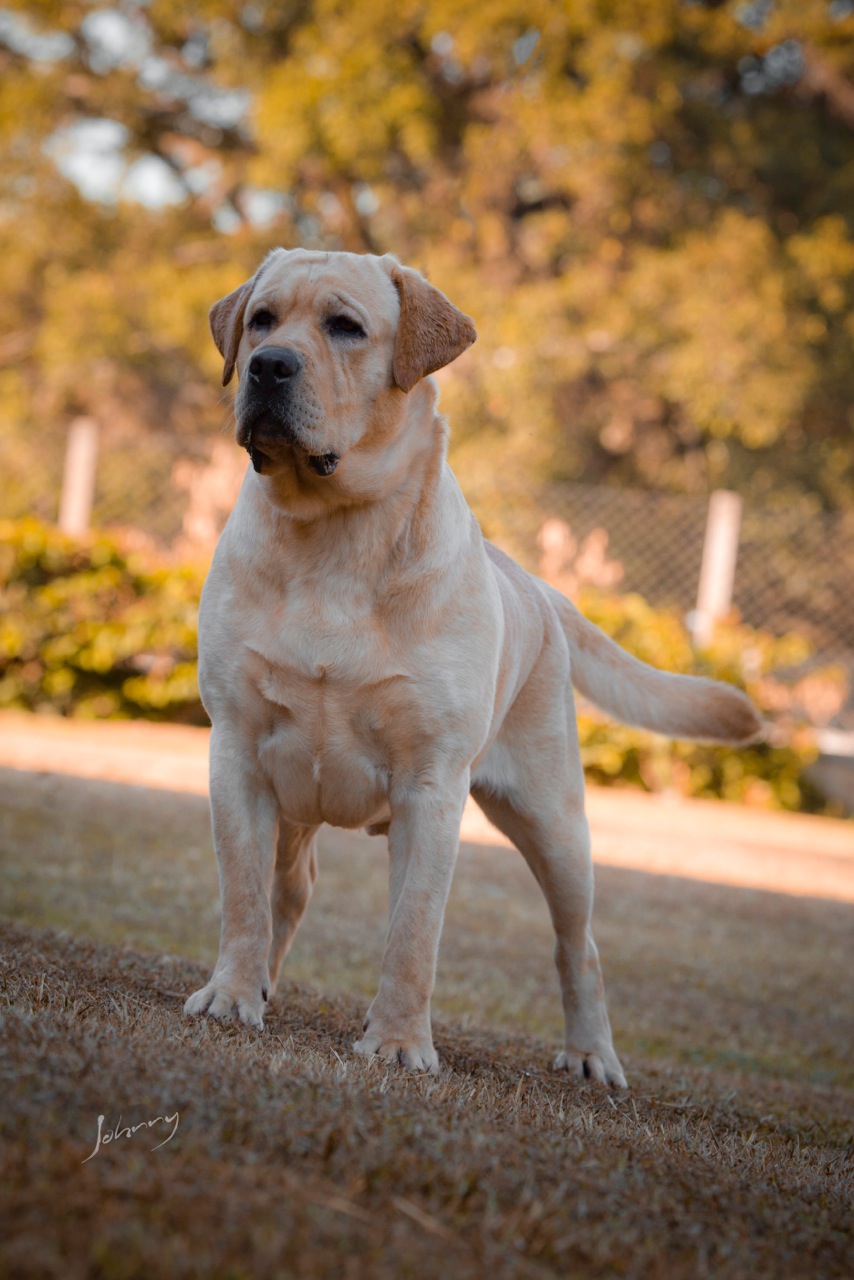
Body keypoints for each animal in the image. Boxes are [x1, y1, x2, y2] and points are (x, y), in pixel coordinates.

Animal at [186, 247, 763, 1080]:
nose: (267, 366)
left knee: (578, 944)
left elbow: (414, 930)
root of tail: (536, 583)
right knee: (287, 892)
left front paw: (399, 1041)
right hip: (297, 803)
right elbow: (243, 894)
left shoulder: (431, 786)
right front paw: (232, 995)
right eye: (262, 319)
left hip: (555, 824)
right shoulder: (237, 750)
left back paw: (591, 1054)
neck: (334, 533)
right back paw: (262, 981)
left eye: (345, 327)